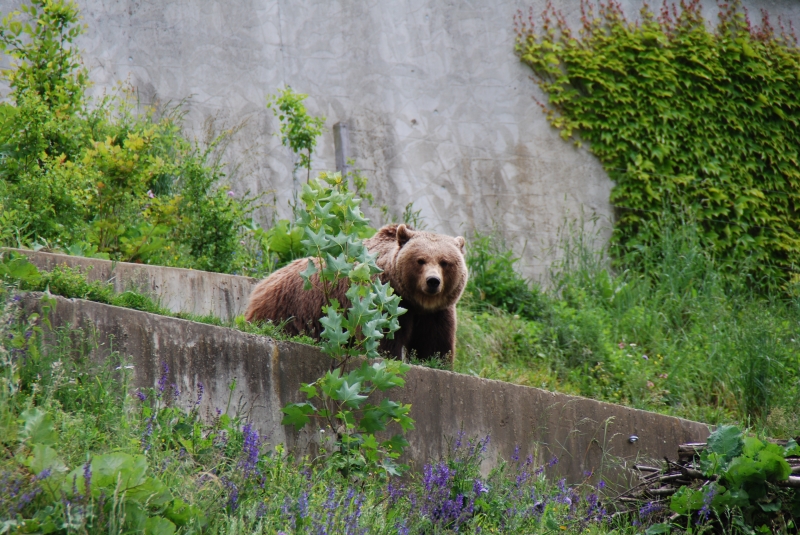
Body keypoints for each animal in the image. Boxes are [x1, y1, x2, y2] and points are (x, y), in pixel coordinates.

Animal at [245, 224, 468, 366]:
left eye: (444, 262)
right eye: (420, 260)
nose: (433, 281)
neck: (414, 301)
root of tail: (261, 285)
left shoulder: (436, 313)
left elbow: (434, 344)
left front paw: (435, 362)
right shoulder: (381, 298)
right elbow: (381, 334)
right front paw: (388, 357)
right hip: (288, 309)